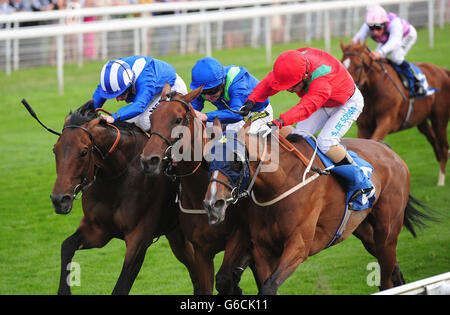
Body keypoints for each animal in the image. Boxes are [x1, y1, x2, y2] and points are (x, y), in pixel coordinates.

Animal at [49, 102, 197, 296]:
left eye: (83, 152)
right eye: (55, 150)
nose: (59, 200)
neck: (118, 177)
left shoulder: (139, 239)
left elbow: (121, 286)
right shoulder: (98, 231)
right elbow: (66, 246)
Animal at [141, 85, 260, 296]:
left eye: (178, 119)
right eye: (152, 118)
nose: (149, 160)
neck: (200, 190)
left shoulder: (239, 235)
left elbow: (224, 279)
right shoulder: (201, 251)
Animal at [203, 119, 432, 296]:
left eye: (236, 162)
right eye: (208, 161)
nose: (212, 204)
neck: (281, 184)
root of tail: (386, 149)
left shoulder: (299, 245)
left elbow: (268, 286)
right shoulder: (262, 248)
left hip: (387, 231)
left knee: (386, 279)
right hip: (366, 232)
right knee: (394, 272)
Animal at [342, 40, 450, 186]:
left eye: (358, 66)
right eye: (342, 63)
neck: (374, 91)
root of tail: (442, 70)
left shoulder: (386, 121)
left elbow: (374, 141)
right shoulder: (363, 126)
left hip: (439, 119)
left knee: (443, 147)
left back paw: (441, 181)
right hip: (422, 121)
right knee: (435, 141)